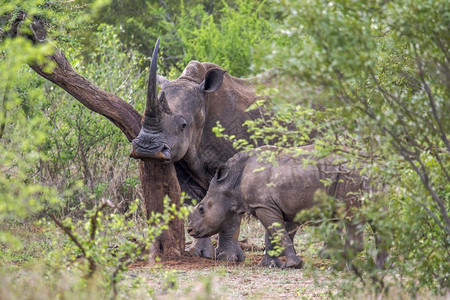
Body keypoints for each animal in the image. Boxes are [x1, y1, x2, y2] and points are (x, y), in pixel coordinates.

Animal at [129, 39, 268, 260]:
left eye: (183, 125)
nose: (146, 149)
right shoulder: (184, 162)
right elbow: (194, 203)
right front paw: (199, 253)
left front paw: (228, 258)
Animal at [186, 144, 386, 268]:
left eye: (201, 209)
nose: (189, 230)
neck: (230, 183)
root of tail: (367, 164)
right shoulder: (274, 206)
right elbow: (275, 234)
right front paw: (270, 265)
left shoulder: (264, 206)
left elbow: (278, 233)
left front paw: (294, 264)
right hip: (368, 177)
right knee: (377, 219)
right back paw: (380, 268)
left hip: (348, 175)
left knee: (350, 216)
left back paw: (336, 268)